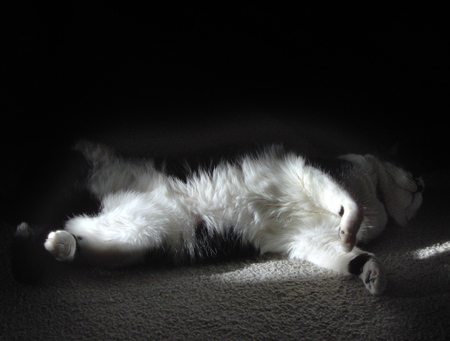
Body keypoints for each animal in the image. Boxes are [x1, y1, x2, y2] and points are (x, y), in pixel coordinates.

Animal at [14, 139, 422, 294]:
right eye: (410, 164)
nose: (422, 183)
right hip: (88, 162)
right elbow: (347, 203)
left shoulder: (310, 241)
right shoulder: (314, 168)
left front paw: (374, 276)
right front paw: (350, 227)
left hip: (131, 240)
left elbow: (352, 257)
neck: (379, 202)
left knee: (78, 239)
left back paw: (59, 243)